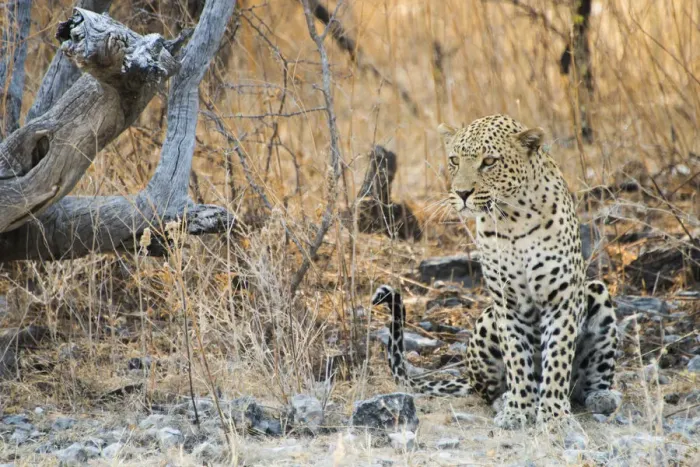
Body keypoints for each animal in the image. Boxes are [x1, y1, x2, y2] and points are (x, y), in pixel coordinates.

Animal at [371, 114, 620, 429]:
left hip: (595, 291)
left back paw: (602, 396)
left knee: (588, 380)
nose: (462, 193)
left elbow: (557, 361)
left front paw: (553, 416)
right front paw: (518, 410)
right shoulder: (506, 304)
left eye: (489, 161)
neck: (513, 218)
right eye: (454, 160)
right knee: (486, 389)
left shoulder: (560, 301)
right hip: (487, 321)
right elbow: (517, 360)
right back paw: (505, 400)